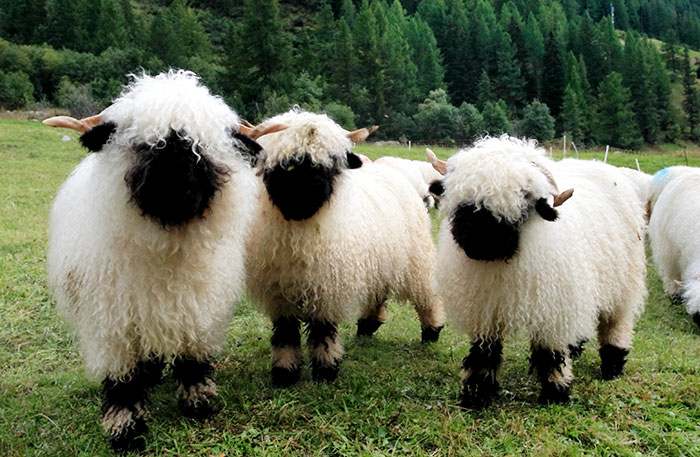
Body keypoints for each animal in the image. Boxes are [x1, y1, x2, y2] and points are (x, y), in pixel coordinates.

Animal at [43, 70, 260, 452]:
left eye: (201, 149)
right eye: (143, 145)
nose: (176, 192)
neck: (165, 250)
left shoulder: (196, 309)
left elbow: (192, 357)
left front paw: (198, 401)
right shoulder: (112, 321)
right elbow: (121, 378)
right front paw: (125, 427)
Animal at [242, 109, 446, 386]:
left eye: (331, 164)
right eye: (290, 163)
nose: (310, 192)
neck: (300, 228)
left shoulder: (327, 287)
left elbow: (323, 331)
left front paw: (325, 370)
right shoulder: (279, 291)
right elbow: (285, 333)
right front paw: (285, 372)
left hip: (416, 259)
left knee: (426, 296)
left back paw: (432, 331)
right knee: (377, 293)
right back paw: (367, 326)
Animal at [428, 136, 647, 407]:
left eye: (524, 198)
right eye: (463, 198)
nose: (479, 242)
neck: (501, 264)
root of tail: (596, 164)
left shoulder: (552, 309)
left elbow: (550, 353)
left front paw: (556, 392)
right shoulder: (485, 309)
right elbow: (484, 353)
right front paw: (477, 394)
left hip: (624, 283)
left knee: (616, 323)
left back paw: (613, 365)